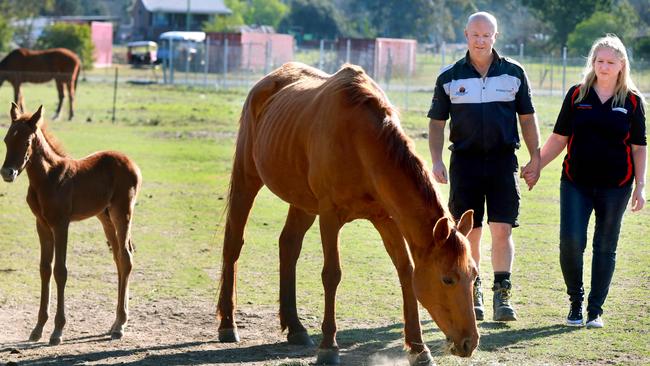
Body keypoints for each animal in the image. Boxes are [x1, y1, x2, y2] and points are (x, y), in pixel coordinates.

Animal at [218, 63, 476, 366]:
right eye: (447, 279)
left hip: (303, 203)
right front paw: (329, 346)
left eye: (473, 275)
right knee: (233, 244)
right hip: (247, 177)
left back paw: (295, 327)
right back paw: (227, 324)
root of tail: (268, 81)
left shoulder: (386, 219)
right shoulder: (330, 216)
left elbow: (405, 272)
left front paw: (418, 347)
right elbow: (332, 274)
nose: (470, 343)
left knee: (289, 246)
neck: (360, 141)